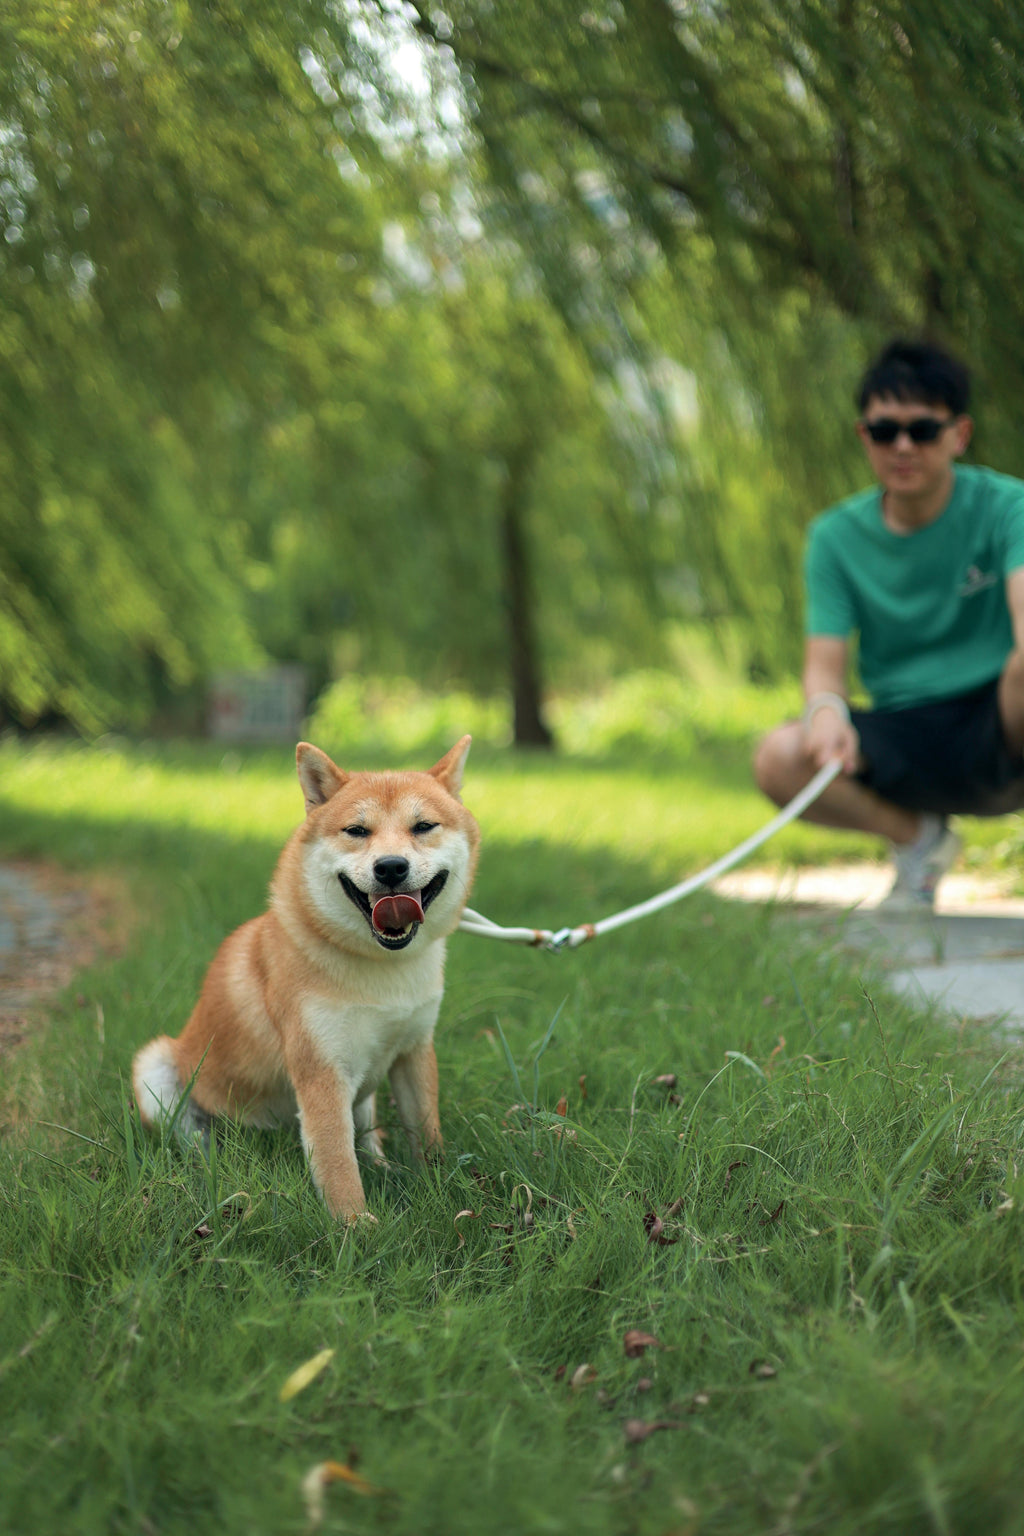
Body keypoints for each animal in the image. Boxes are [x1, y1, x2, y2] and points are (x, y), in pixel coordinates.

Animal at [132, 737, 482, 1216]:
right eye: (357, 831)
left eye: (424, 826)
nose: (391, 867)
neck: (382, 967)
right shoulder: (322, 1071)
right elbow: (337, 1164)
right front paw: (356, 1225)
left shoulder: (414, 1050)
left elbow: (426, 1133)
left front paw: (438, 1188)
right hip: (157, 1067)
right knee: (196, 1137)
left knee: (368, 1136)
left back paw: (384, 1168)